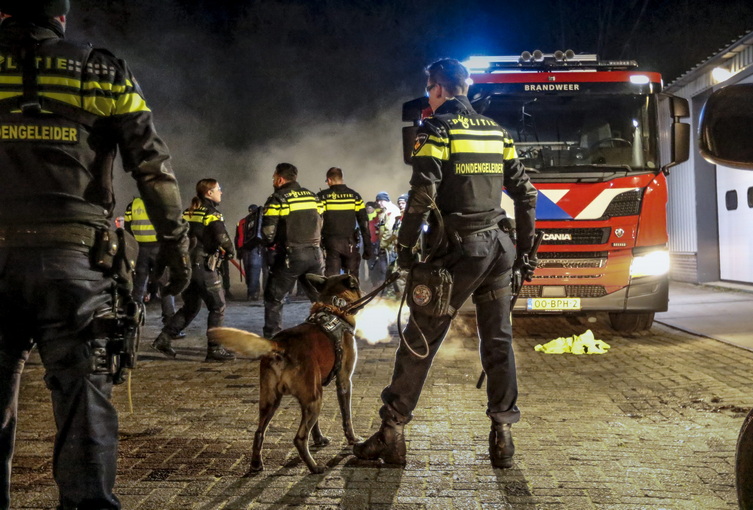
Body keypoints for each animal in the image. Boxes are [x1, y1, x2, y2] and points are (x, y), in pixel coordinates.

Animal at [204, 274, 360, 474]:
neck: (334, 307)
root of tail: (280, 345)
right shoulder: (344, 381)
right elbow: (347, 416)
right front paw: (352, 439)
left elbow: (316, 426)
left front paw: (319, 440)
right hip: (314, 400)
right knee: (299, 438)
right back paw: (314, 467)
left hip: (271, 401)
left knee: (259, 432)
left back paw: (256, 464)